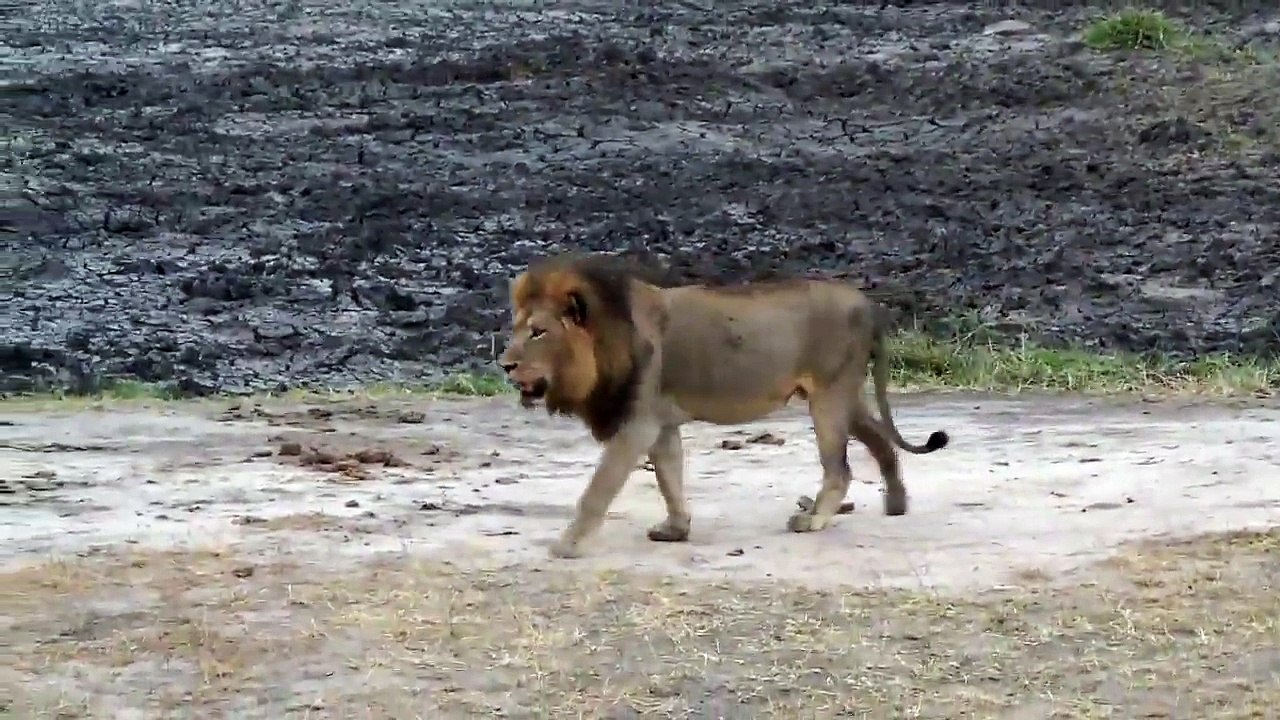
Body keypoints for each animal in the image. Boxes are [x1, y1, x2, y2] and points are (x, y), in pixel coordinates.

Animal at [498, 252, 949, 559]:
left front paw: (568, 544)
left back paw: (814, 521)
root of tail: (867, 304)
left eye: (538, 332)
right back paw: (896, 503)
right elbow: (670, 479)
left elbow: (599, 488)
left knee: (841, 468)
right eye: (516, 329)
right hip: (843, 396)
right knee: (879, 439)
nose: (505, 365)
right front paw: (676, 529)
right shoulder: (660, 422)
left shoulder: (637, 423)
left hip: (829, 397)